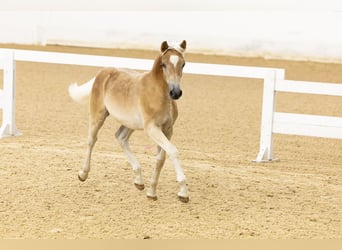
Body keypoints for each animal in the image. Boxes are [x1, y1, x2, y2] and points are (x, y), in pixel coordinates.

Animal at [68, 40, 188, 202]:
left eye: (183, 64)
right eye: (163, 64)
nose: (175, 92)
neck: (157, 92)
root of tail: (103, 71)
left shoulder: (168, 129)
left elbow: (161, 158)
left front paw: (152, 192)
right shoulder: (152, 128)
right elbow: (173, 152)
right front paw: (183, 192)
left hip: (130, 123)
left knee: (121, 137)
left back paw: (139, 180)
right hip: (98, 114)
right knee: (91, 140)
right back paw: (83, 174)